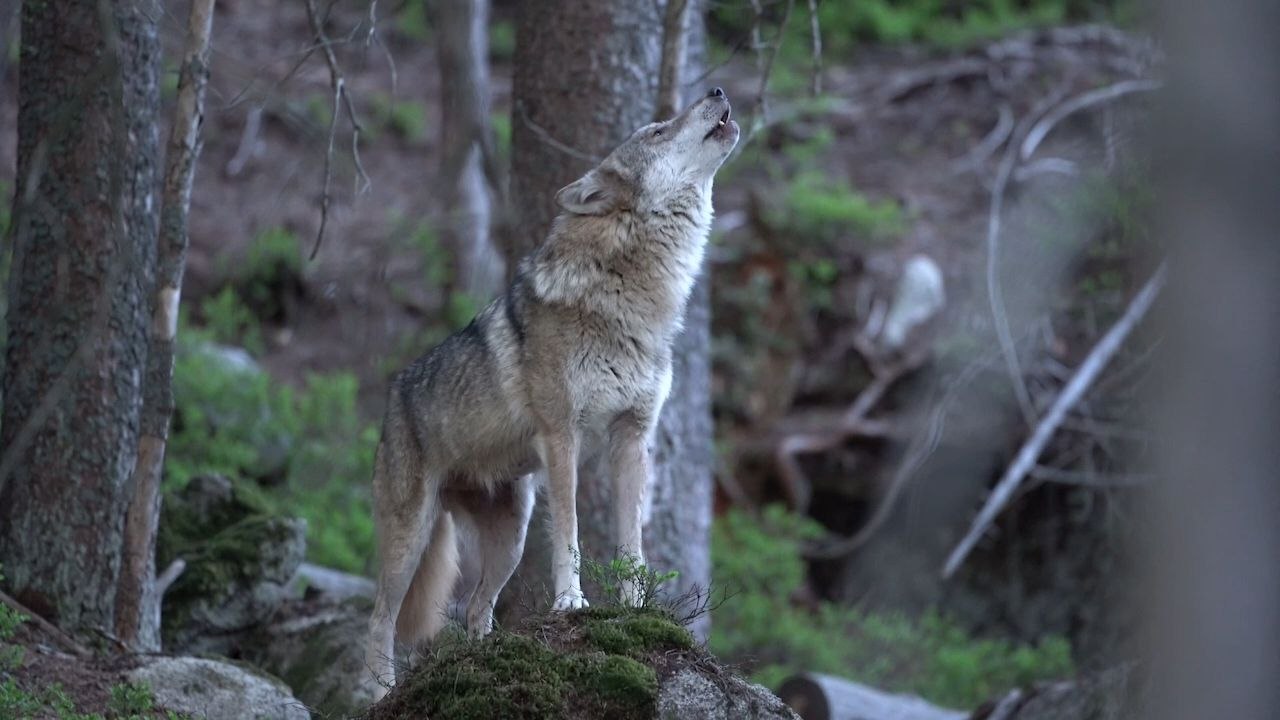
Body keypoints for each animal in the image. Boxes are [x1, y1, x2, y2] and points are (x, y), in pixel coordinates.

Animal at [364, 87, 739, 694]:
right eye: (657, 131)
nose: (717, 91)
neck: (632, 298)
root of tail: (394, 392)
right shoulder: (562, 436)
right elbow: (571, 534)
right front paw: (571, 603)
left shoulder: (633, 438)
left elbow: (632, 542)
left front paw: (636, 610)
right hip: (412, 538)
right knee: (379, 621)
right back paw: (380, 692)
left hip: (511, 538)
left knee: (476, 607)